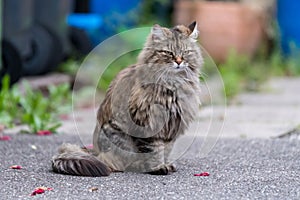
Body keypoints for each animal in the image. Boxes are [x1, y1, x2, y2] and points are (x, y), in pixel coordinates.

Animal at [52, 21, 204, 176]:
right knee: (120, 164)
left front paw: (166, 164)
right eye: (168, 53)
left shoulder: (172, 126)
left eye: (185, 52)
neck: (173, 84)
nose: (179, 61)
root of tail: (95, 152)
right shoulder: (148, 125)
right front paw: (158, 167)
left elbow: (166, 150)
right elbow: (154, 152)